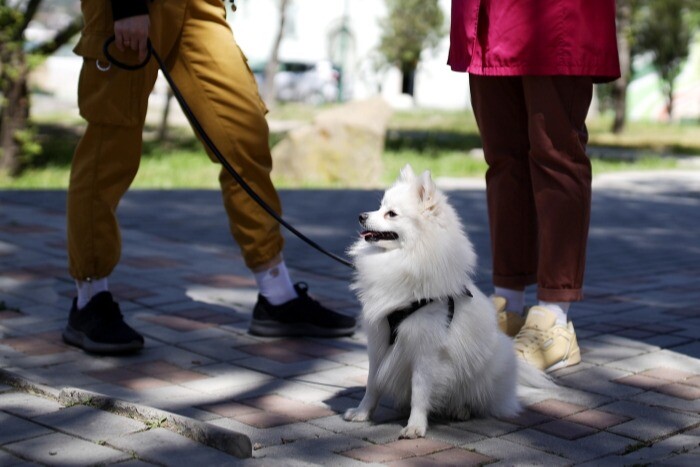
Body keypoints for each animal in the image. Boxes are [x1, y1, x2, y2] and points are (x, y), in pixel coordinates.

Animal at [344, 165, 548, 438]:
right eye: (380, 207)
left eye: (391, 214)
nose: (361, 215)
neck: (405, 258)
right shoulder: (378, 341)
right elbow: (372, 384)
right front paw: (362, 413)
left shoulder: (426, 349)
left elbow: (420, 391)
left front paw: (415, 426)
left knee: (474, 398)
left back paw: (461, 410)